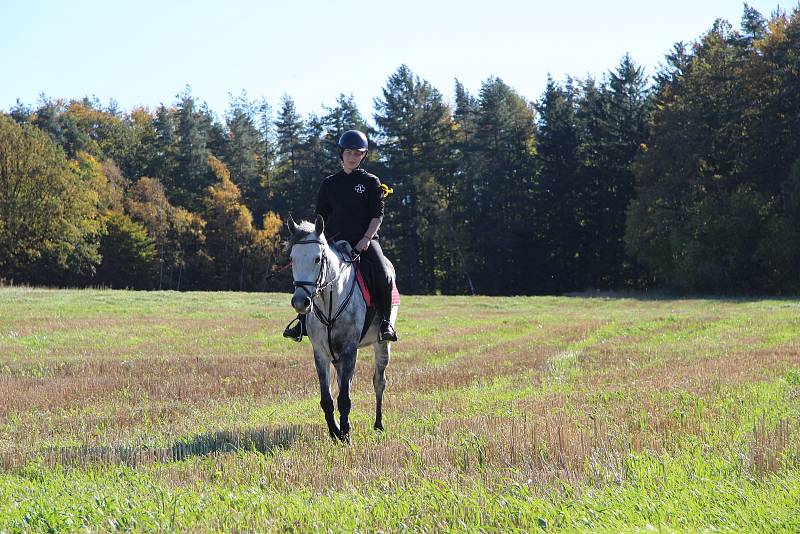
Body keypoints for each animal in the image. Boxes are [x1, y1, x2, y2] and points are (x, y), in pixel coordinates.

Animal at [290, 215, 398, 444]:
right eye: (292, 259)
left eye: (317, 259)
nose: (300, 302)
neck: (330, 299)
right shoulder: (321, 352)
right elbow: (327, 398)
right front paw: (335, 431)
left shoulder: (350, 349)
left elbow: (345, 398)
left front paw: (346, 434)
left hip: (382, 344)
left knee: (379, 382)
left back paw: (378, 425)